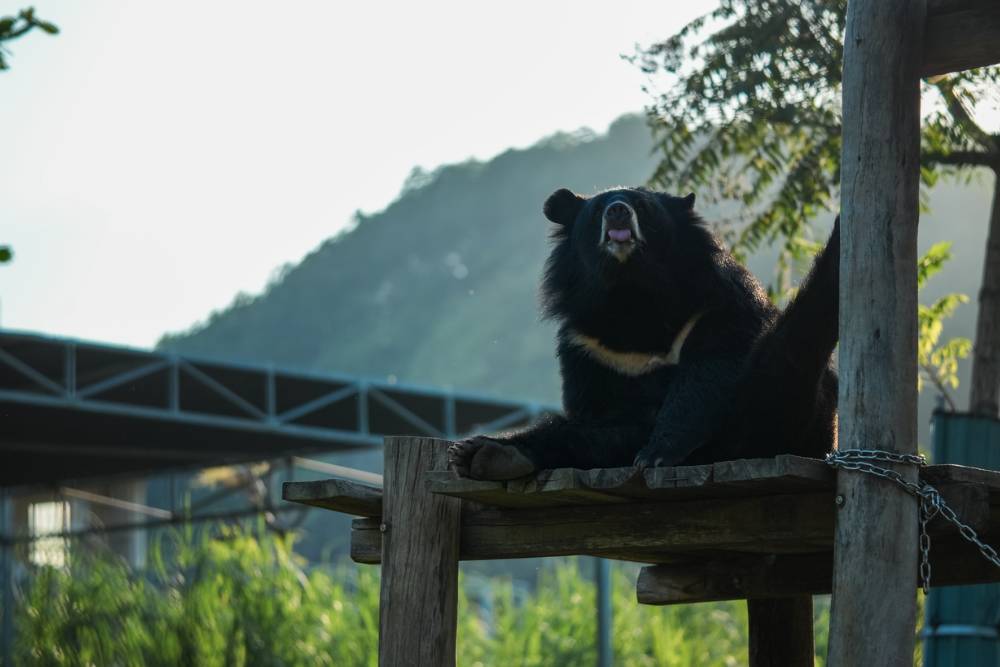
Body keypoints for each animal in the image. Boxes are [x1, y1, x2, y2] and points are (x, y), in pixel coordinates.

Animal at [450, 188, 840, 480]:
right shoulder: (587, 345)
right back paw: (486, 454)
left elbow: (708, 375)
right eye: (598, 210)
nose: (617, 211)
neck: (632, 292)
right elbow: (595, 413)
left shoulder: (718, 309)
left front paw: (657, 453)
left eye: (642, 205)